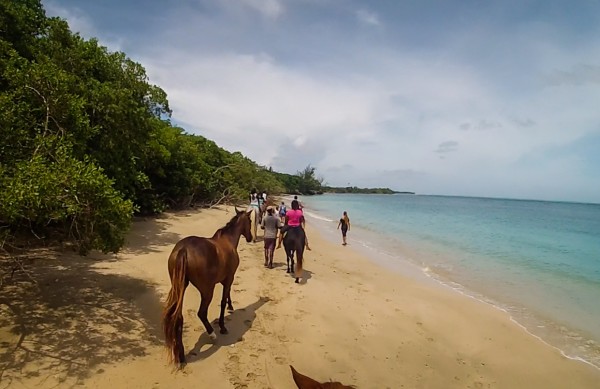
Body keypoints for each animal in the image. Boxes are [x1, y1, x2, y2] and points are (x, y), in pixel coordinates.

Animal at [161, 208, 252, 366]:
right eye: (251, 221)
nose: (251, 238)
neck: (228, 240)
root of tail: (184, 249)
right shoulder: (229, 278)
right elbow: (223, 301)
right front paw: (222, 326)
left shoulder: (226, 279)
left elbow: (227, 295)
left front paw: (231, 307)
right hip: (207, 291)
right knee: (201, 313)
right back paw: (212, 334)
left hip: (180, 288)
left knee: (178, 317)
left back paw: (181, 356)